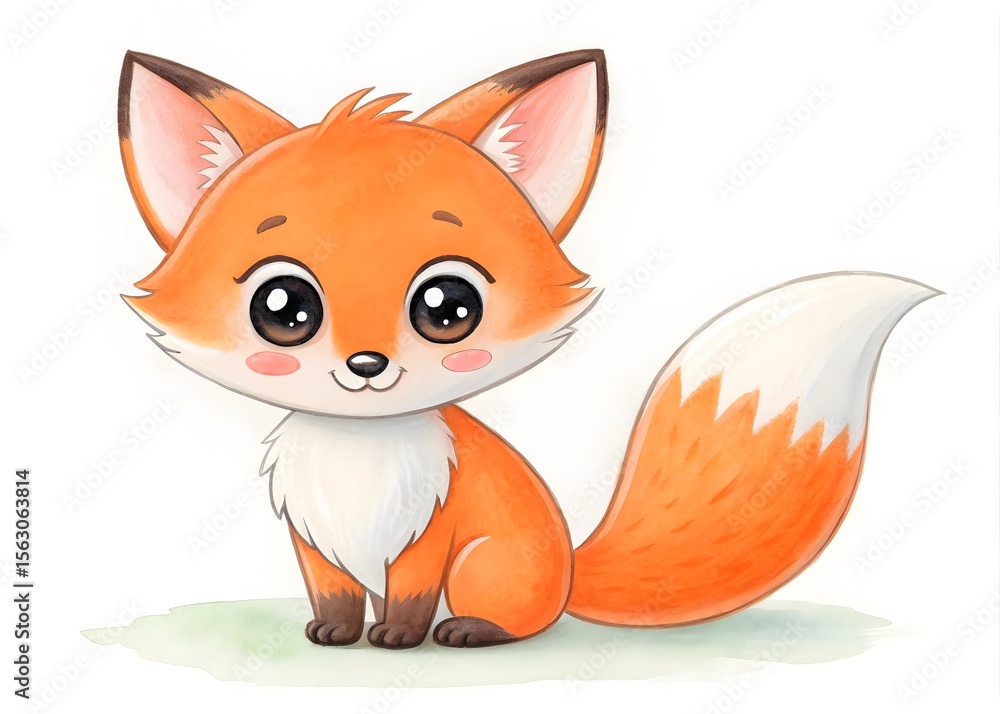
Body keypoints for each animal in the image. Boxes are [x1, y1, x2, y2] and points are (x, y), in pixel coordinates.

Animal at [117, 49, 938, 649]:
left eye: (448, 307)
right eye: (283, 308)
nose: (366, 367)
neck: (359, 451)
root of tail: (571, 568)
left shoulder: (432, 534)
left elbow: (409, 598)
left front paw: (397, 638)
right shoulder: (314, 539)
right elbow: (335, 598)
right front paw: (334, 633)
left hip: (486, 566)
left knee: (516, 619)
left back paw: (468, 631)